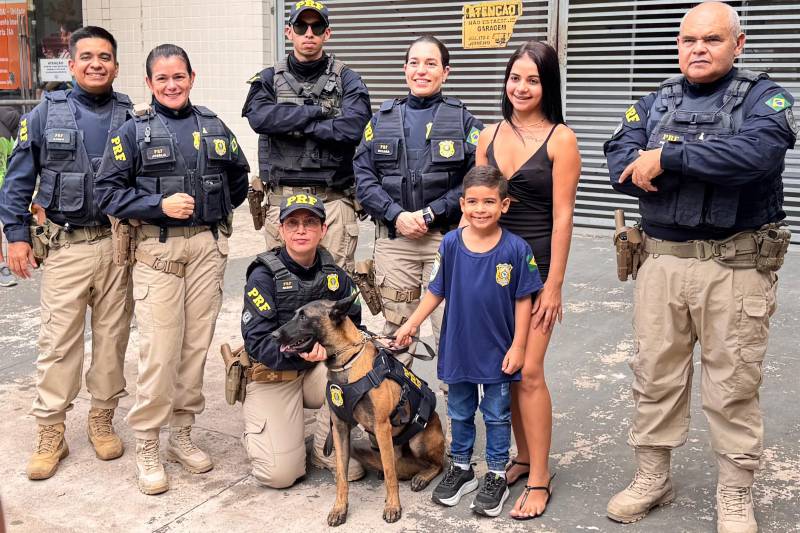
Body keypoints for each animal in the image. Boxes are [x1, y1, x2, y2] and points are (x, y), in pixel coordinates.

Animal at [274, 294, 446, 524]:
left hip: (417, 442)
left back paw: (422, 476)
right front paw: (339, 508)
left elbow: (390, 475)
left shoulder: (381, 427)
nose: (274, 335)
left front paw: (393, 506)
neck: (347, 362)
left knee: (437, 464)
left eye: (303, 317)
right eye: (295, 314)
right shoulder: (339, 429)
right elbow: (341, 475)